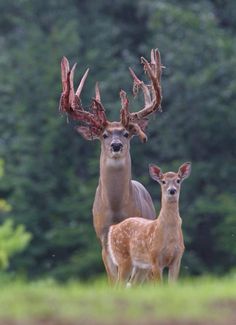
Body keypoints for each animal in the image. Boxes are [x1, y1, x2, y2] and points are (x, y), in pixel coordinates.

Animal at [58, 48, 164, 280]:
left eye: (126, 133)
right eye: (104, 135)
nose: (116, 145)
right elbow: (113, 279)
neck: (116, 210)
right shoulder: (103, 242)